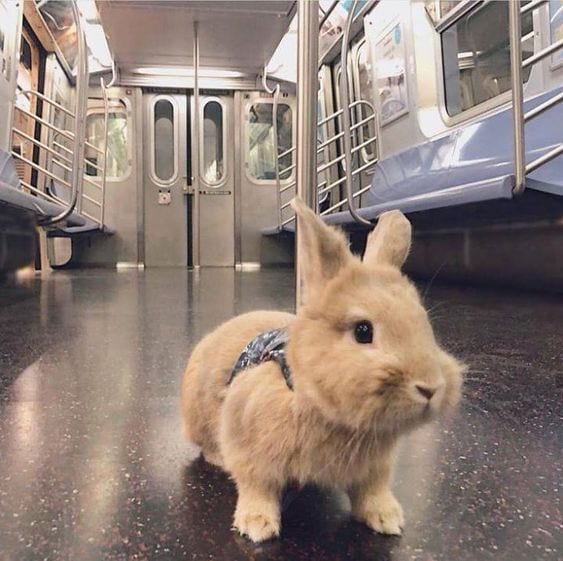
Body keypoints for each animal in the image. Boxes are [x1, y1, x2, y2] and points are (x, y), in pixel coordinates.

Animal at [182, 198, 468, 544]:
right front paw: (257, 526)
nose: (430, 387)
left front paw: (387, 519)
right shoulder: (247, 444)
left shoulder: (375, 467)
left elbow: (372, 490)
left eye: (424, 322)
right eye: (363, 331)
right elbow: (256, 486)